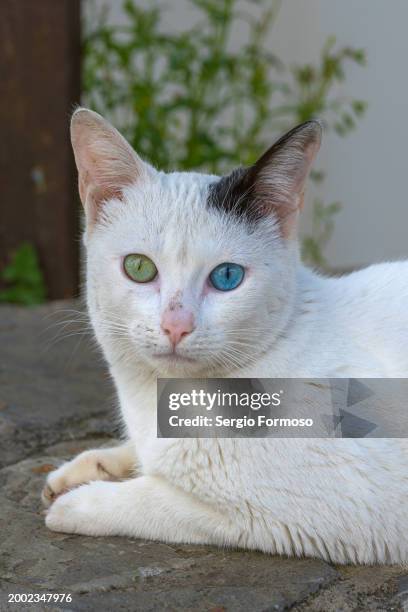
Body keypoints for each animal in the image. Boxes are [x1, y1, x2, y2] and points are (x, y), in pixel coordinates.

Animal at [43, 109, 408, 564]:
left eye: (228, 277)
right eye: (139, 268)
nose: (176, 325)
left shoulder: (325, 508)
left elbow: (156, 497)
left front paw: (79, 501)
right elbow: (137, 454)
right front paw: (83, 467)